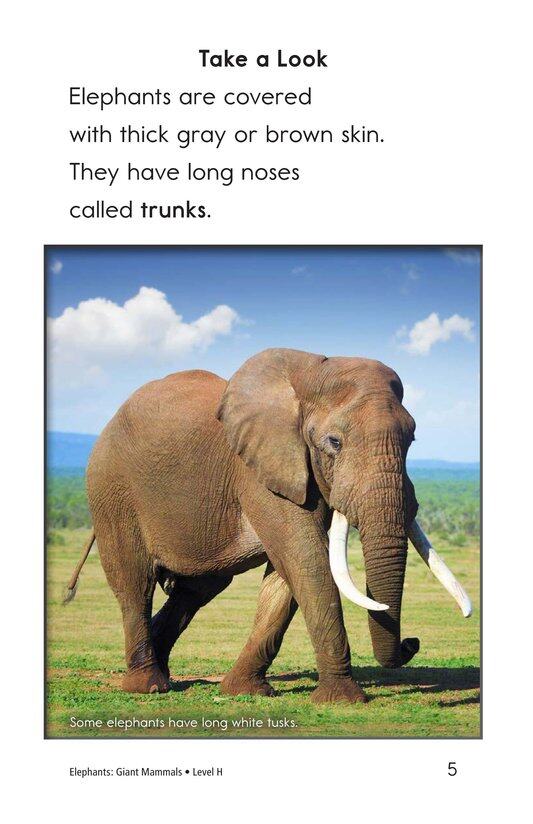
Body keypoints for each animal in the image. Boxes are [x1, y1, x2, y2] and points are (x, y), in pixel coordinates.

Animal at [65, 348, 471, 703]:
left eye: (412, 439)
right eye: (334, 442)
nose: (412, 643)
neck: (310, 373)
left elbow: (286, 574)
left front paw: (243, 692)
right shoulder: (259, 469)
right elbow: (305, 558)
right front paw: (343, 700)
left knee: (198, 589)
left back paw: (163, 674)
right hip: (111, 490)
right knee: (135, 583)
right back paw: (147, 686)